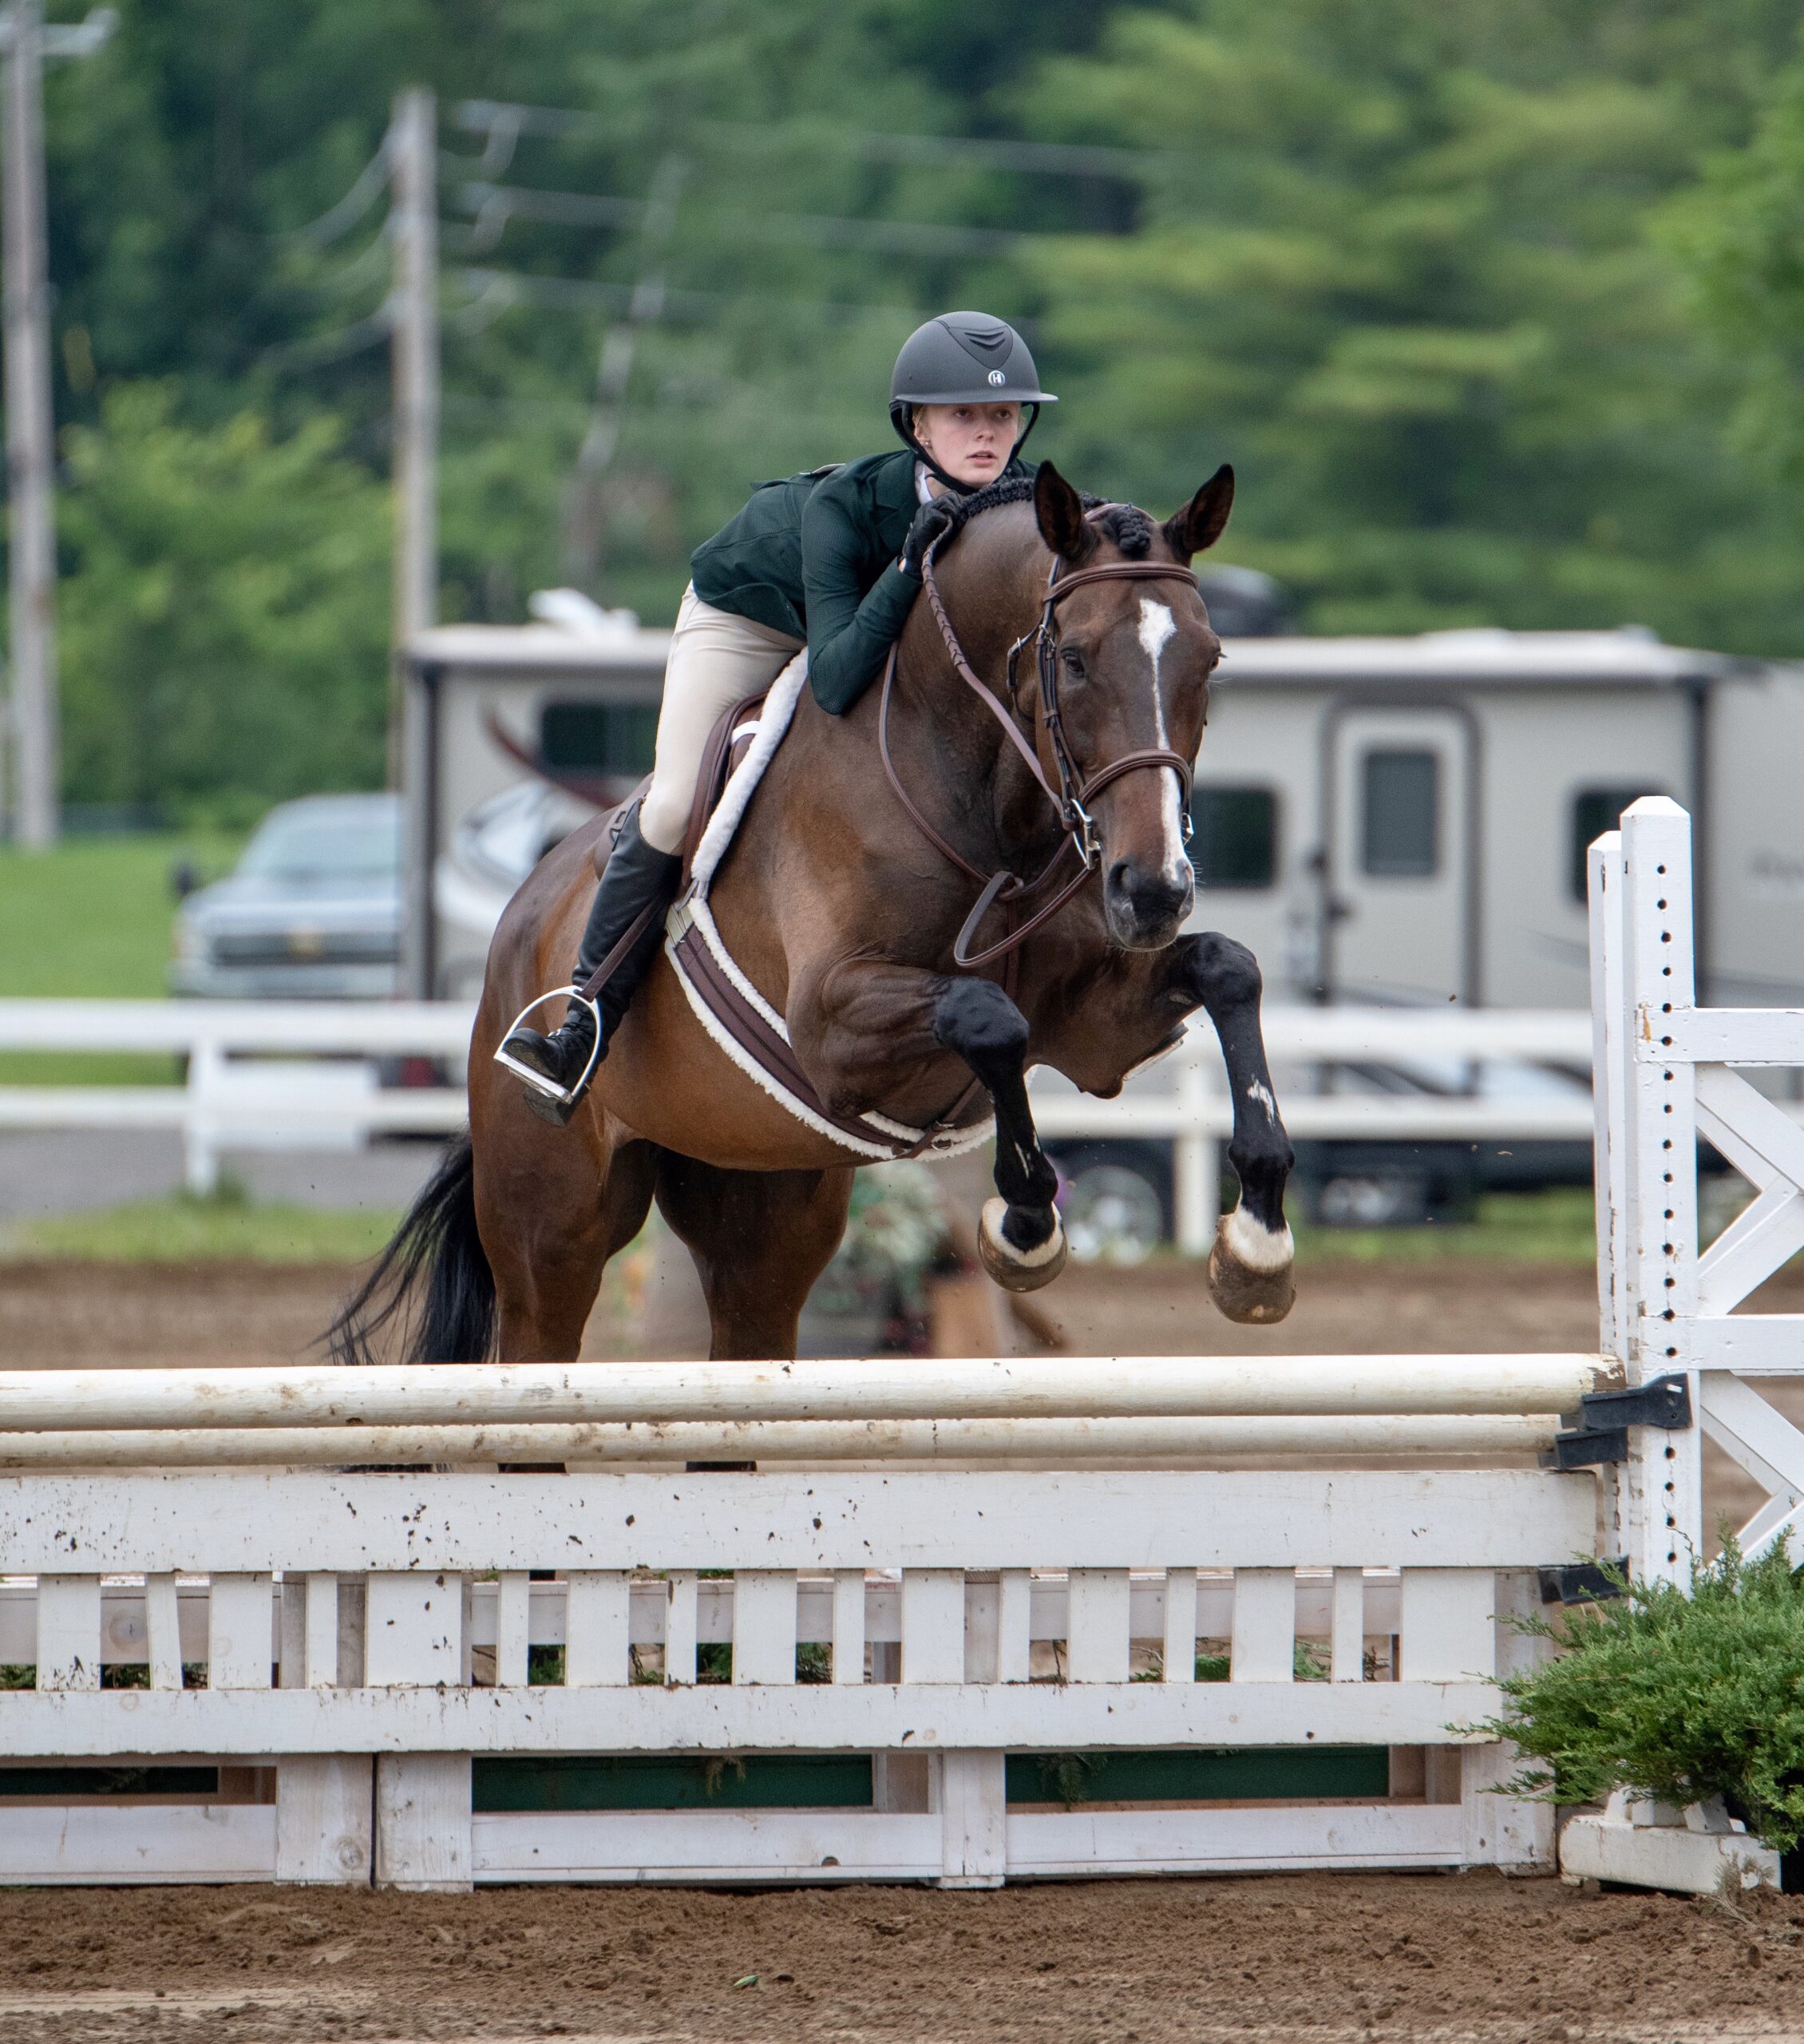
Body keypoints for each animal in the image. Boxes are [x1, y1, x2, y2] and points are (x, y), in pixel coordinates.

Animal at [330, 455, 1299, 1365]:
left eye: (1209, 661)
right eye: (1075, 658)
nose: (1153, 889)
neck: (989, 809)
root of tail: (522, 925)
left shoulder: (1094, 1027)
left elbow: (1227, 968)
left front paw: (1257, 1243)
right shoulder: (830, 1029)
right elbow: (988, 1015)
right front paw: (1026, 1226)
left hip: (760, 1207)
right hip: (551, 1234)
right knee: (540, 1335)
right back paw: (560, 1049)